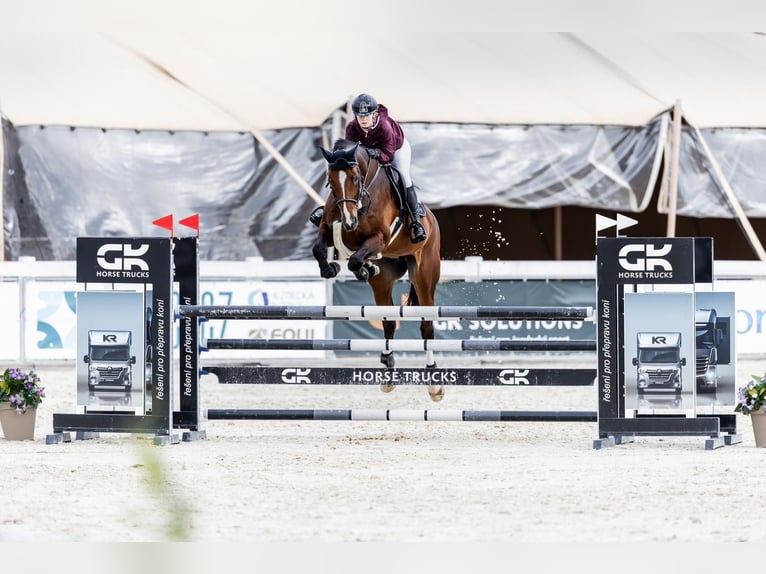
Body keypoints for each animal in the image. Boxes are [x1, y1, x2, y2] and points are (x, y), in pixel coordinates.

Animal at [312, 138, 444, 401]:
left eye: (355, 178)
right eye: (330, 181)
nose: (350, 221)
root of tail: (432, 219)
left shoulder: (379, 238)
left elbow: (354, 259)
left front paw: (362, 269)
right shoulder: (329, 229)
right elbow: (320, 249)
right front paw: (333, 268)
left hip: (424, 275)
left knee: (426, 325)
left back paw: (434, 383)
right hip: (385, 279)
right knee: (389, 322)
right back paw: (387, 368)